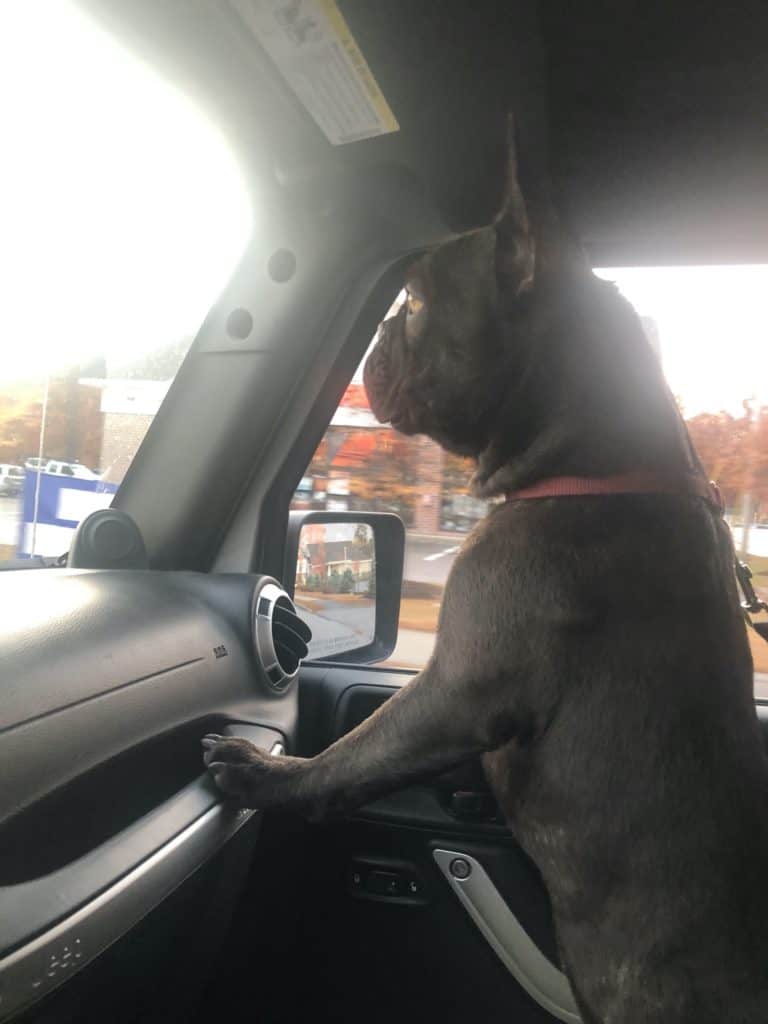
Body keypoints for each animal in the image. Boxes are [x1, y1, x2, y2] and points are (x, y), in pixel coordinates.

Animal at [202, 132, 768, 1019]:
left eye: (415, 303)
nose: (381, 333)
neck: (595, 469)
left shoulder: (454, 689)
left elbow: (353, 755)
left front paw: (267, 774)